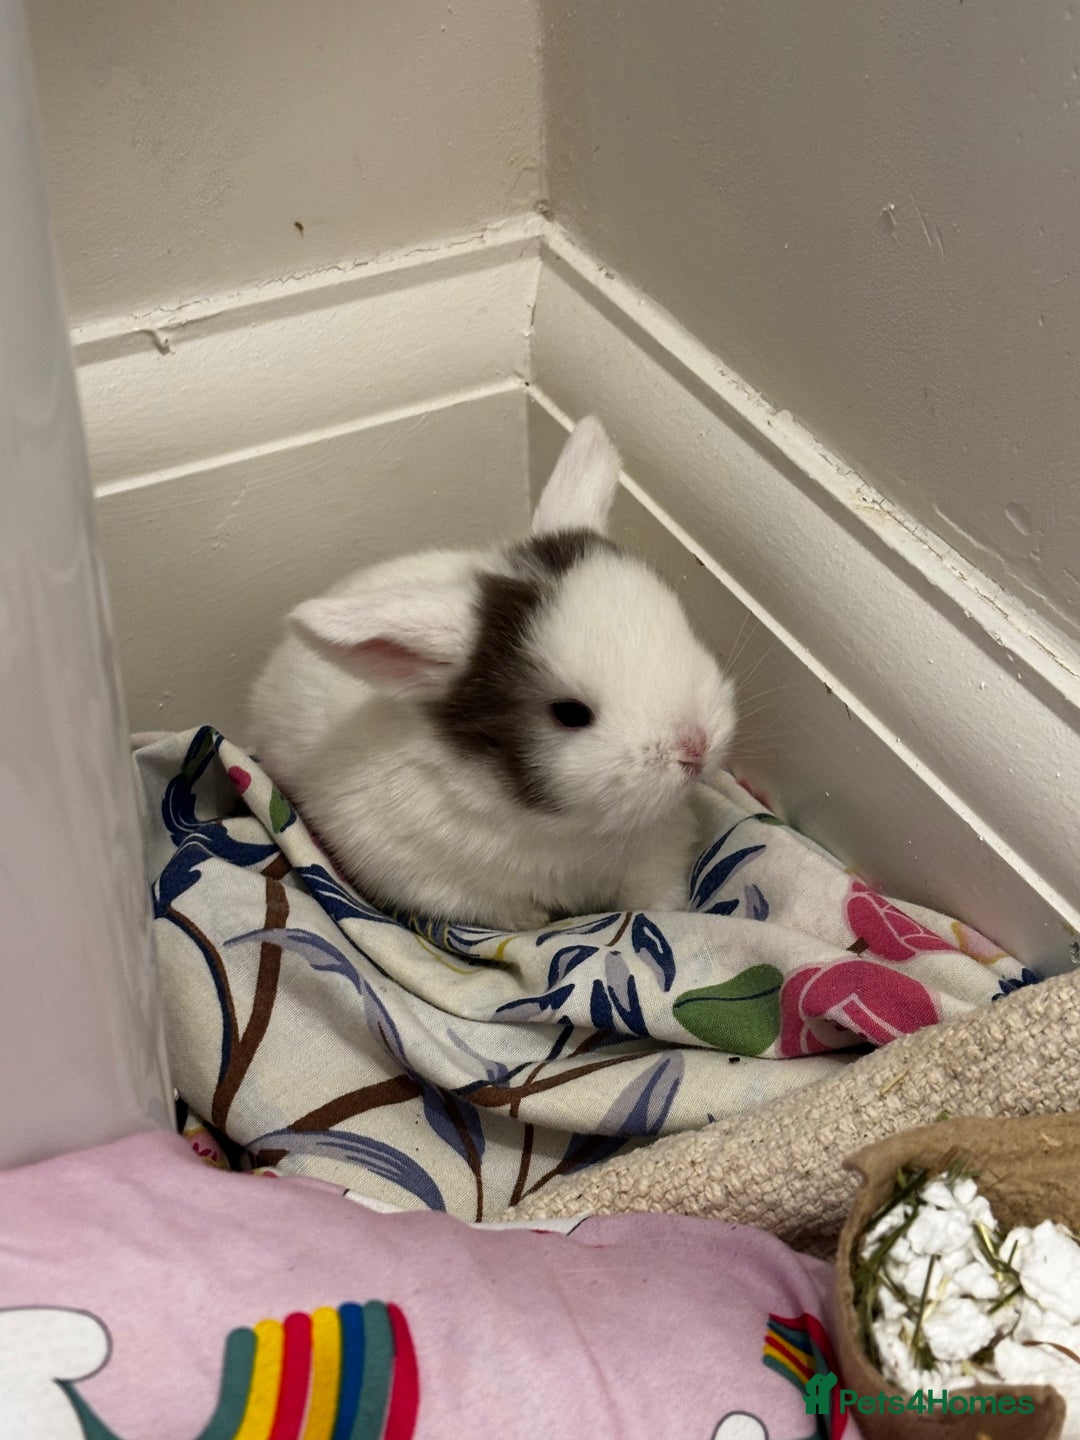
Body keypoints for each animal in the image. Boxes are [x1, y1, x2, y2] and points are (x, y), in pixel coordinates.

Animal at [247, 417, 736, 930]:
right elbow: (514, 915)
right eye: (569, 713)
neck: (567, 829)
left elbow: (658, 895)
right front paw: (537, 923)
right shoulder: (432, 882)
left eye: (681, 627)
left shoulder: (661, 847)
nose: (697, 746)